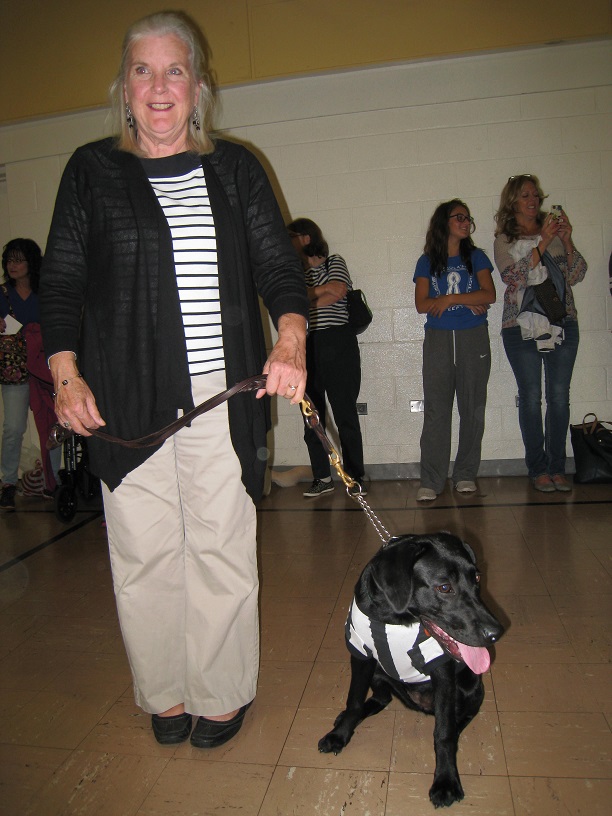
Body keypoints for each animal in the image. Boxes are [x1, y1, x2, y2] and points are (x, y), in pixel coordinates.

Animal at [318, 532, 503, 808]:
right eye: (444, 587)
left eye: (477, 579)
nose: (496, 634)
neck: (394, 619)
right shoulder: (360, 654)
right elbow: (354, 701)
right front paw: (340, 734)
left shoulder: (442, 670)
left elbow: (444, 733)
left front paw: (445, 781)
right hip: (379, 672)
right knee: (380, 698)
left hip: (471, 687)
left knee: (462, 717)